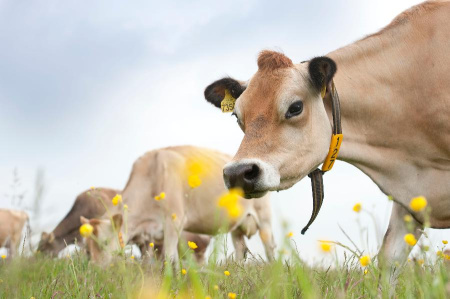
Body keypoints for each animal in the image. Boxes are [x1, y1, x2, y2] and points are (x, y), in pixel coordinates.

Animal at [102, 146, 276, 264]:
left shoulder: (174, 221)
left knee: (270, 248)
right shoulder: (147, 239)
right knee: (240, 250)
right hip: (237, 227)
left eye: (102, 242)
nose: (97, 270)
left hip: (265, 219)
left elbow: (170, 259)